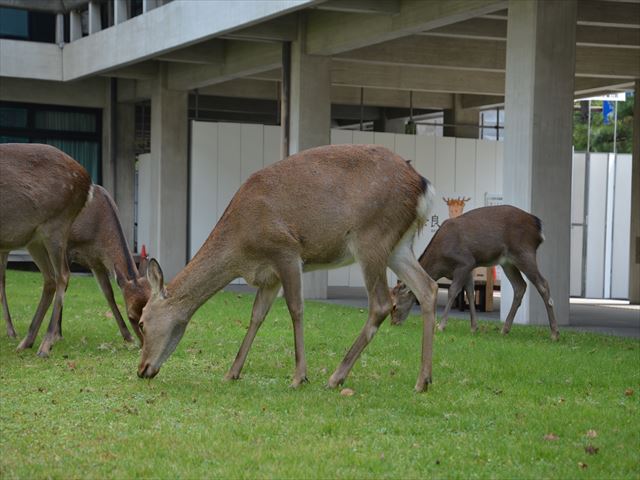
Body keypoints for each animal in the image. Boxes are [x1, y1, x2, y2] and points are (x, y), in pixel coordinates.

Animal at [0, 143, 92, 357]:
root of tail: (87, 182)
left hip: (56, 225)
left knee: (63, 275)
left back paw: (45, 344)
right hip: (34, 239)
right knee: (50, 278)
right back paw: (27, 341)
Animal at [137, 144, 439, 392]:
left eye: (141, 322)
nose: (141, 369)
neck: (241, 248)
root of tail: (423, 185)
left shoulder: (286, 251)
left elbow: (296, 308)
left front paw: (299, 376)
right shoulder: (268, 276)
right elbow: (257, 315)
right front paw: (232, 372)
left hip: (371, 238)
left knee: (381, 303)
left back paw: (336, 377)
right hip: (399, 246)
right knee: (428, 287)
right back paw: (423, 380)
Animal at [390, 205, 559, 340]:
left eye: (395, 305)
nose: (393, 323)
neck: (441, 263)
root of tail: (538, 226)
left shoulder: (465, 261)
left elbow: (453, 291)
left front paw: (441, 325)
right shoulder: (469, 268)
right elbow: (470, 293)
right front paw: (474, 327)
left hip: (524, 251)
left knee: (543, 284)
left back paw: (554, 333)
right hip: (507, 262)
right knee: (520, 286)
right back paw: (504, 329)